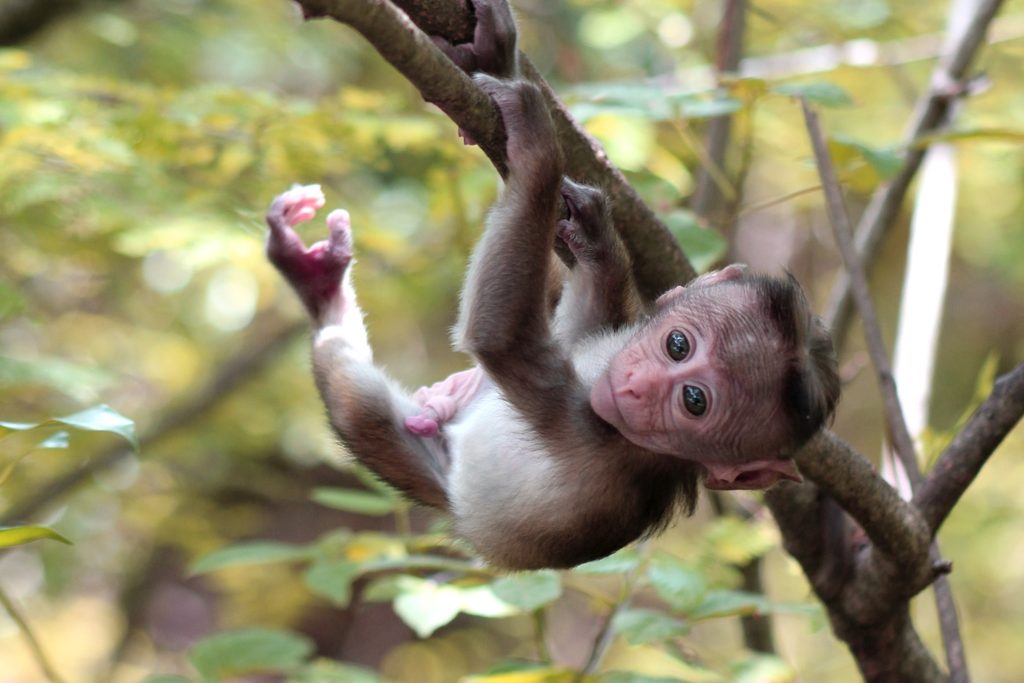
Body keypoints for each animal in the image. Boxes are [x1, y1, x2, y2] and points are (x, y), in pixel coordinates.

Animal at [265, 72, 840, 569]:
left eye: (693, 401)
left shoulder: (593, 436)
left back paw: (318, 289)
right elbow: (578, 325)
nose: (637, 386)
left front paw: (539, 148)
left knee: (358, 407)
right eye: (677, 345)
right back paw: (316, 274)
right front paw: (594, 233)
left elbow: (500, 340)